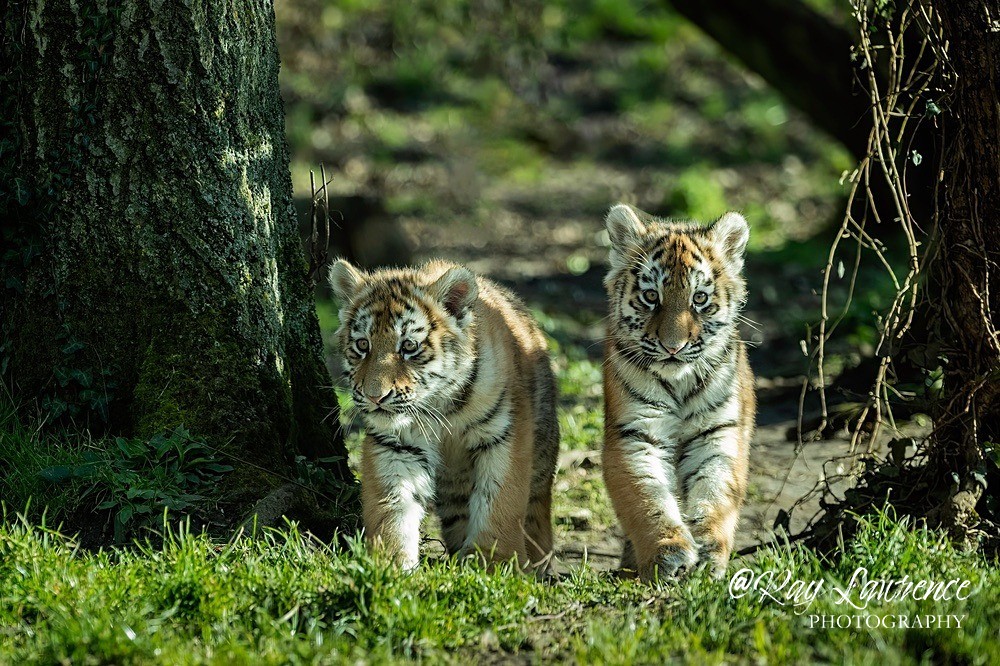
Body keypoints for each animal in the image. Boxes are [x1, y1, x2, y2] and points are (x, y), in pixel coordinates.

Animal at [328, 259, 560, 571]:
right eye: (363, 345)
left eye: (409, 346)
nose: (375, 396)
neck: (440, 406)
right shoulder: (396, 445)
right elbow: (391, 505)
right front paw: (389, 564)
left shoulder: (505, 434)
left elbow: (501, 499)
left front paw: (494, 563)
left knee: (537, 504)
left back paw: (538, 560)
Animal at [600, 203, 755, 581]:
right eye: (650, 296)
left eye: (699, 298)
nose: (673, 347)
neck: (679, 382)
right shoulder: (636, 434)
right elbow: (648, 500)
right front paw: (667, 553)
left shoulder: (718, 434)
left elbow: (716, 493)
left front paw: (710, 550)